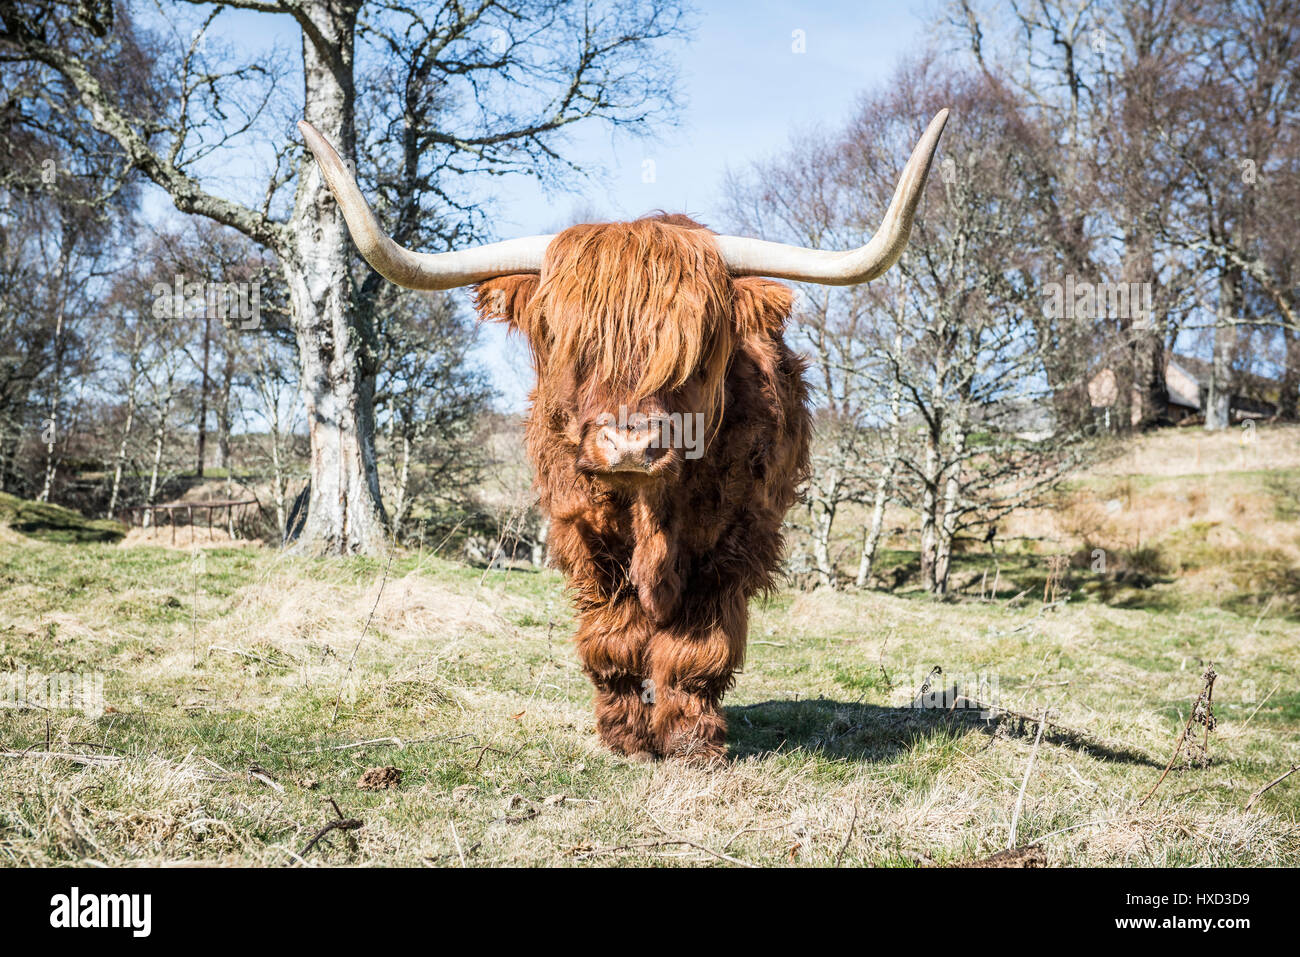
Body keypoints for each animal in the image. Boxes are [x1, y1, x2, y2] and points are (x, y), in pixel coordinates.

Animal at [305, 108, 956, 759]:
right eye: (564, 338)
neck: (651, 509)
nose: (629, 446)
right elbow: (611, 636)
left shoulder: (735, 539)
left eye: (696, 346)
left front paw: (691, 740)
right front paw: (624, 734)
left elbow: (697, 646)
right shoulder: (582, 533)